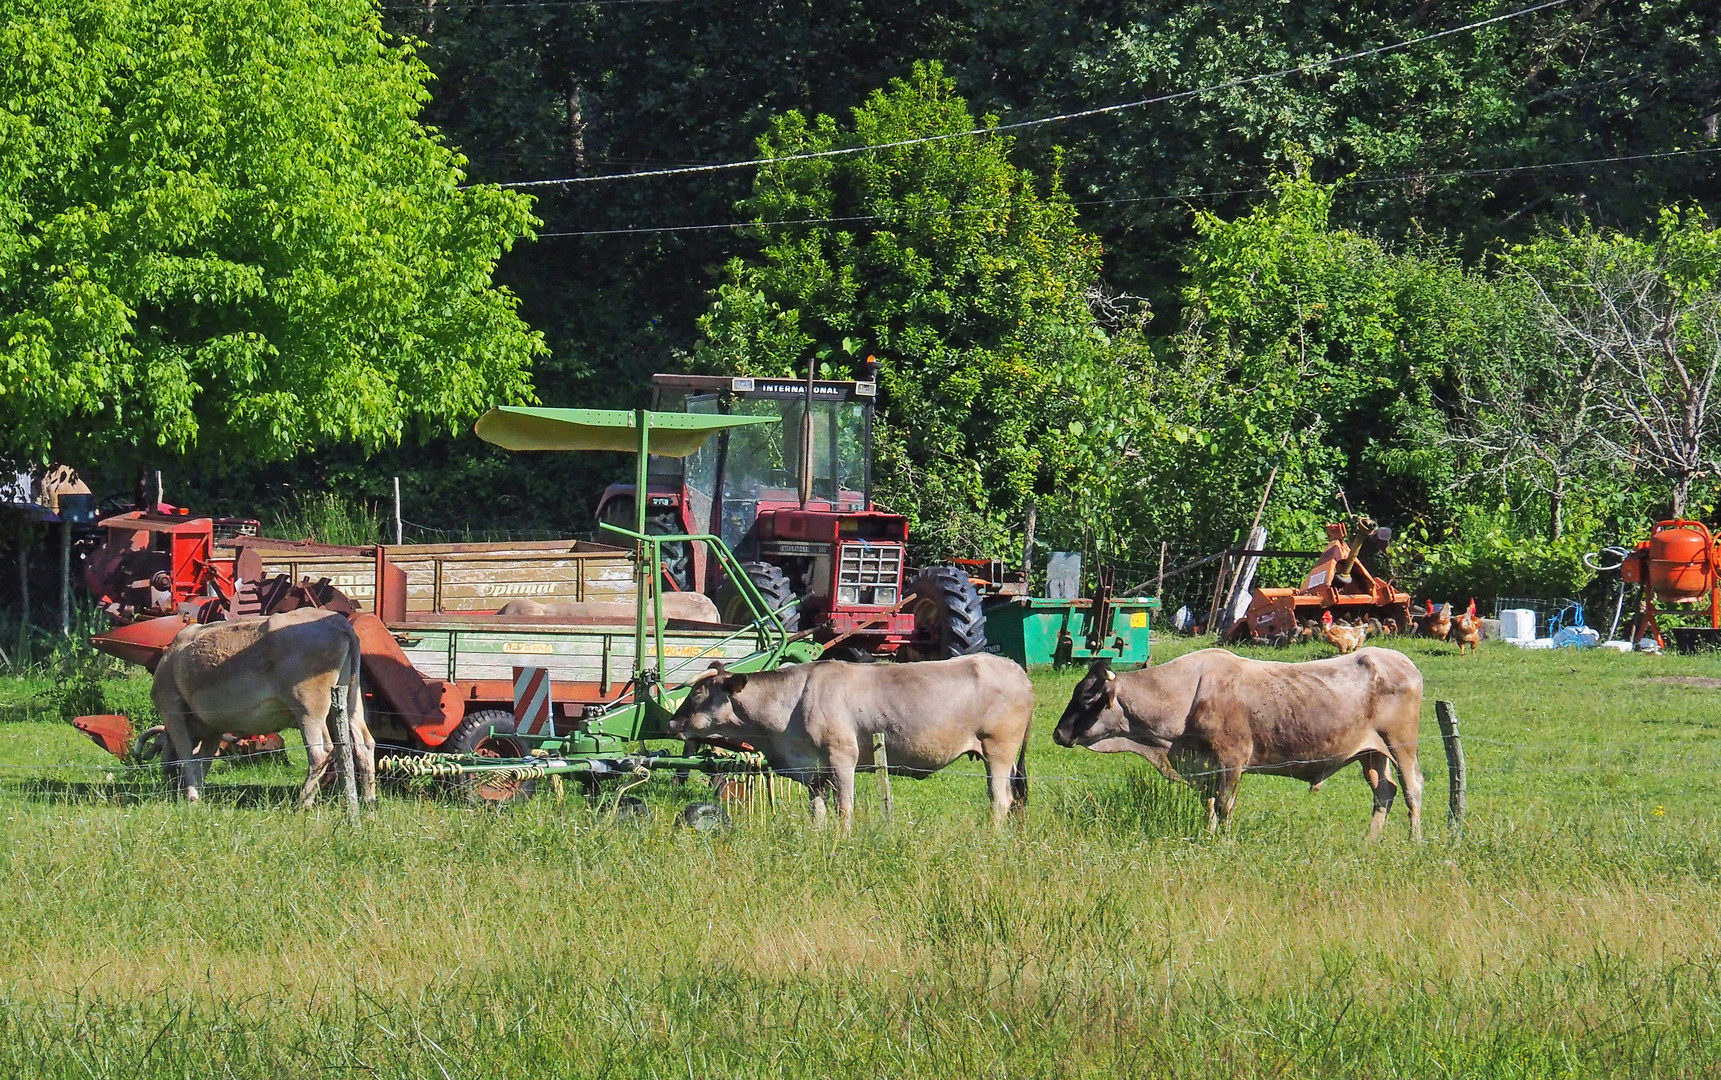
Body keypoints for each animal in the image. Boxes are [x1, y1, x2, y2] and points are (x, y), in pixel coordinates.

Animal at [149, 612, 375, 804]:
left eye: (161, 747)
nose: (165, 773)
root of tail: (337, 621)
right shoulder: (214, 727)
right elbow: (203, 760)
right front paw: (199, 792)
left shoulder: (172, 711)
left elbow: (186, 756)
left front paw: (192, 797)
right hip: (350, 700)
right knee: (364, 744)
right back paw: (368, 800)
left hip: (308, 708)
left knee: (320, 752)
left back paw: (303, 803)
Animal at [664, 653, 1025, 832]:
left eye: (699, 693)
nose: (671, 723)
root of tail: (1013, 667)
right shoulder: (813, 769)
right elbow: (817, 809)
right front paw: (819, 837)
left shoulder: (842, 758)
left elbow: (844, 806)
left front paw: (843, 838)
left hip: (998, 751)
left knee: (1000, 800)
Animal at [1046, 646, 1424, 839]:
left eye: (1087, 696)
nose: (1058, 734)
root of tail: (1399, 660)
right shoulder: (1205, 766)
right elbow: (1210, 803)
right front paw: (1209, 835)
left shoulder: (1232, 761)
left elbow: (1225, 804)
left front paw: (1224, 840)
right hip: (1371, 754)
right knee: (1384, 791)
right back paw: (1371, 840)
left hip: (1401, 745)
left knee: (1412, 788)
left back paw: (1414, 839)